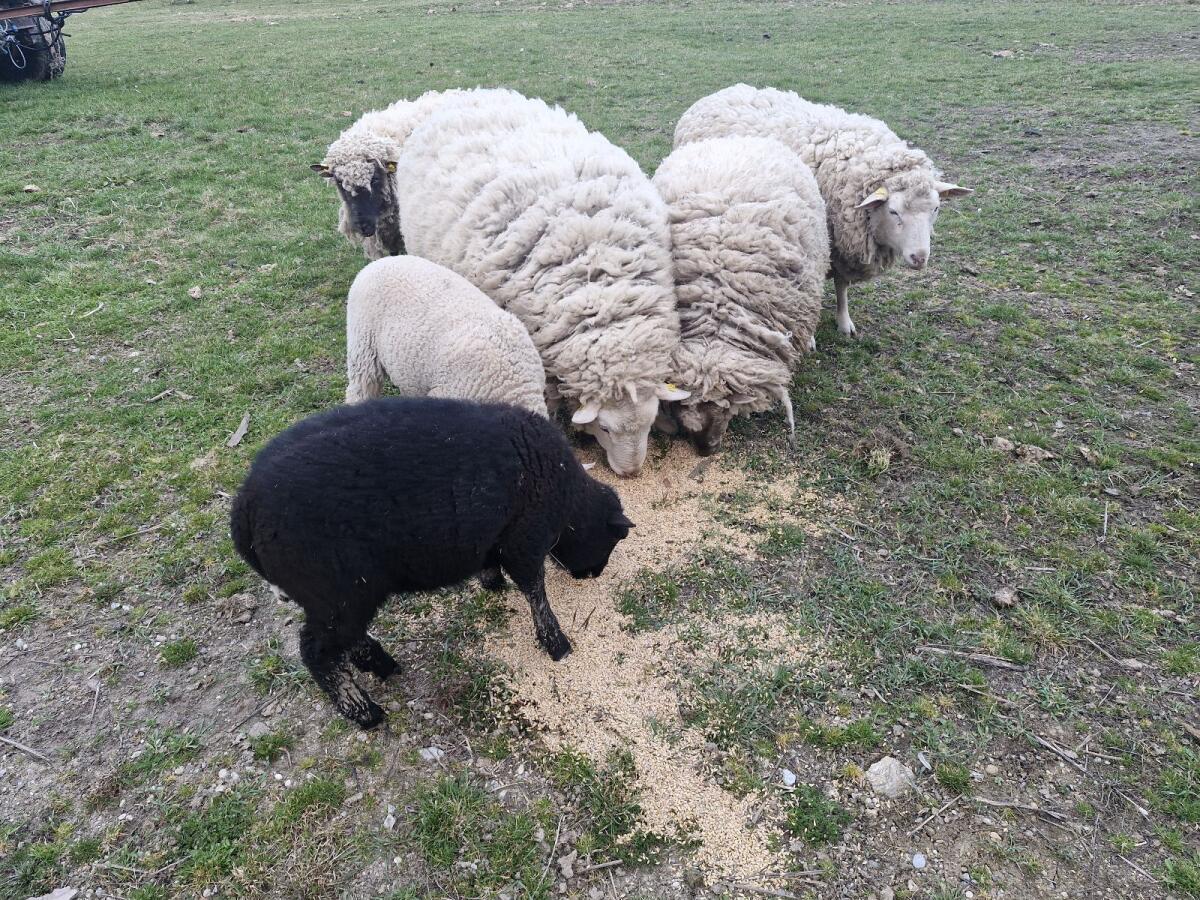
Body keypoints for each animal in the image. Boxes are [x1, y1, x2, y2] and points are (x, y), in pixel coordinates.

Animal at [230, 397, 634, 729]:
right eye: (610, 542)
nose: (592, 574)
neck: (567, 498)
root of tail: (244, 511)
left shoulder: (494, 536)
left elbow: (495, 566)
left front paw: (492, 582)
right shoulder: (524, 539)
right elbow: (536, 592)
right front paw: (557, 645)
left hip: (342, 595)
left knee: (345, 639)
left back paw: (380, 664)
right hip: (338, 590)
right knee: (317, 652)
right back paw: (364, 711)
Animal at [673, 84, 972, 338]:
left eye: (936, 209)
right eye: (894, 212)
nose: (920, 258)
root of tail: (720, 92)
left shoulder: (840, 246)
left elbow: (841, 285)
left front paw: (844, 321)